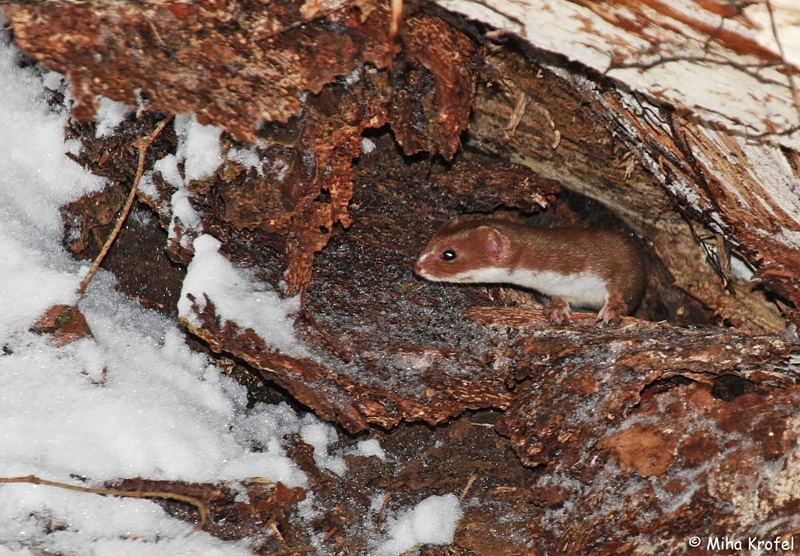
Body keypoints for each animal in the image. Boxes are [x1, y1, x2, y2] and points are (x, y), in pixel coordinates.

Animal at [412, 218, 644, 324]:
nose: (417, 267)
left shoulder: (618, 258)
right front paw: (557, 309)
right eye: (431, 241)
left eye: (449, 254)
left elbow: (620, 286)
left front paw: (612, 310)